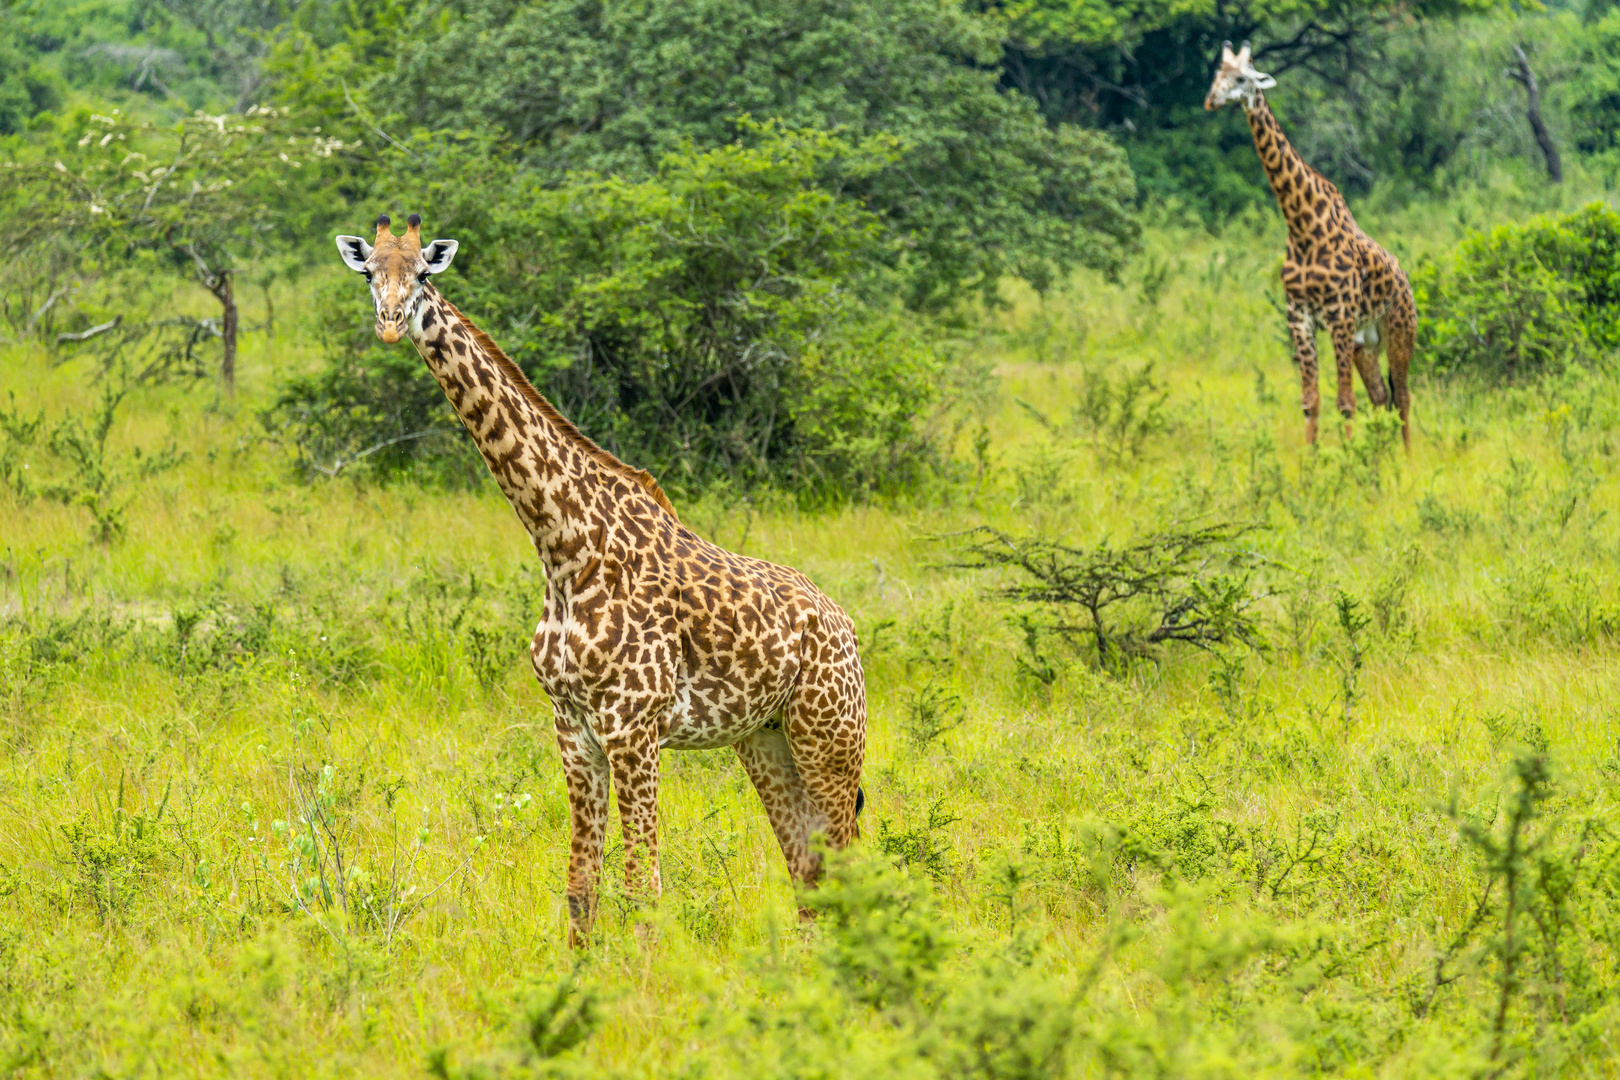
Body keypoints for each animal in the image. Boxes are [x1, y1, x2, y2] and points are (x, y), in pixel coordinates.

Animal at [333, 213, 868, 945]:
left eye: (421, 274)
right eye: (368, 272)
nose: (389, 325)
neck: (564, 548)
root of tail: (846, 628)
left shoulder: (634, 727)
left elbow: (642, 886)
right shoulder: (573, 726)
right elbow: (581, 886)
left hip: (831, 734)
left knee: (848, 863)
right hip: (765, 739)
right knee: (808, 869)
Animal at [1205, 42, 1419, 446]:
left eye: (1241, 78)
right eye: (1216, 75)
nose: (1211, 101)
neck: (1302, 227)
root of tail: (1405, 280)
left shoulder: (1339, 316)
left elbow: (1345, 401)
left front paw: (1348, 459)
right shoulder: (1299, 316)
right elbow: (1311, 401)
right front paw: (1312, 458)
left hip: (1399, 330)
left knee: (1402, 396)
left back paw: (1406, 458)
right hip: (1365, 341)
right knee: (1380, 395)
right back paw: (1380, 457)